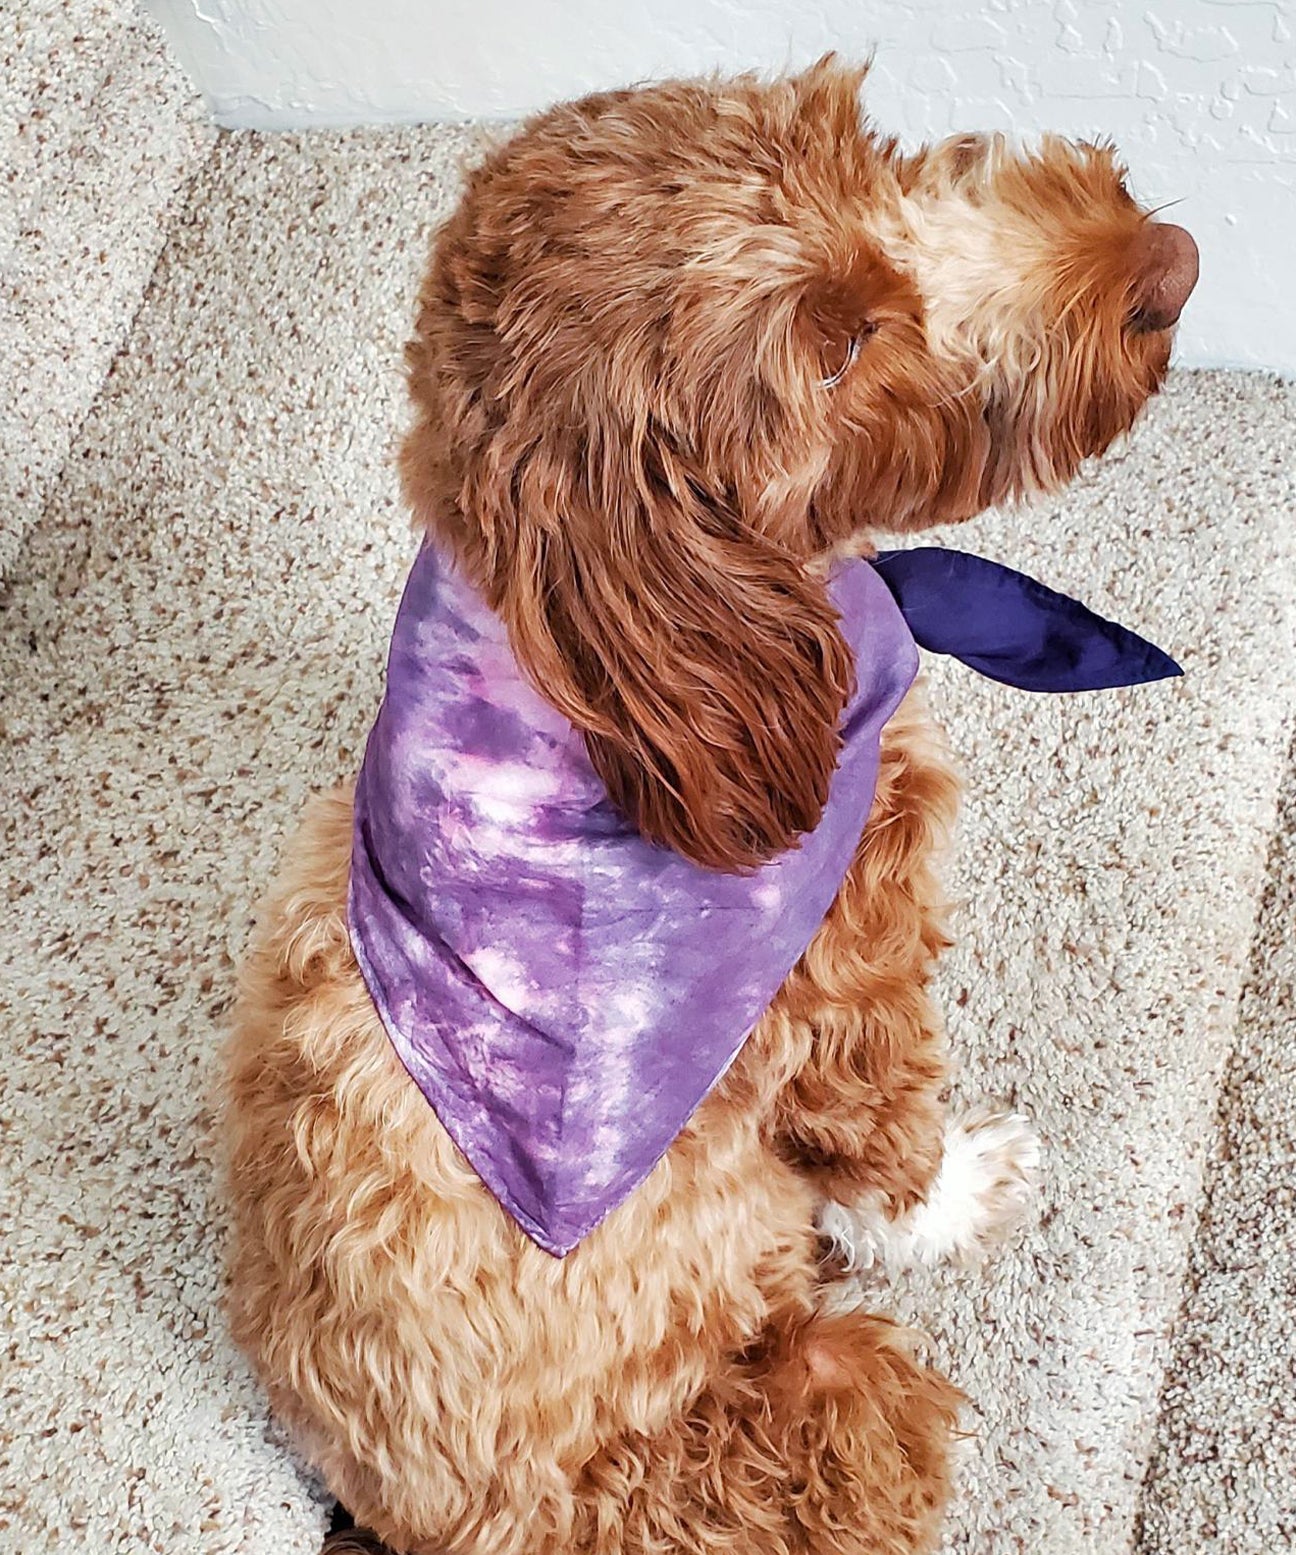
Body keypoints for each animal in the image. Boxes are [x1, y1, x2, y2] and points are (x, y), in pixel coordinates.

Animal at [219, 54, 1194, 1555]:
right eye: (840, 350)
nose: (1173, 262)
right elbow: (880, 1135)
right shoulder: (842, 960)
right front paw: (961, 1187)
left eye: (872, 152)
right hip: (818, 1402)